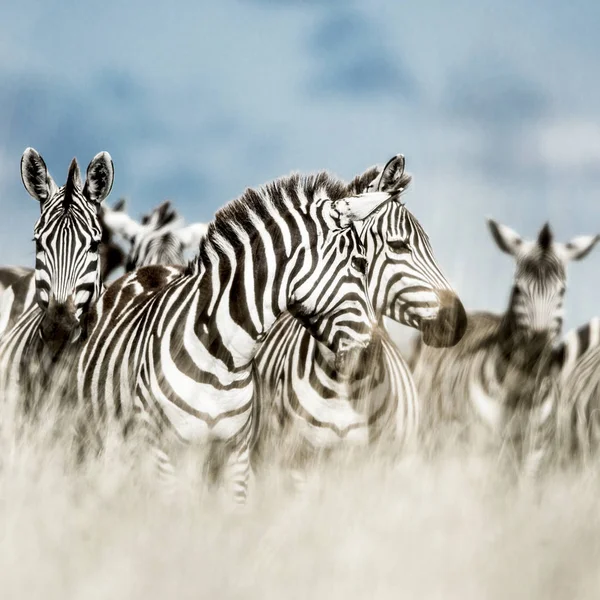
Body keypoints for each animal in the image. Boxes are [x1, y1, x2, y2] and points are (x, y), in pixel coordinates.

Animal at [72, 171, 396, 504]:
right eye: (360, 263)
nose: (371, 356)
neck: (223, 359)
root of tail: (151, 269)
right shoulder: (161, 451)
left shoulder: (236, 454)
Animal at [410, 218, 596, 472]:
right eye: (517, 289)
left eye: (562, 291)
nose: (537, 350)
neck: (521, 394)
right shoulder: (476, 451)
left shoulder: (534, 456)